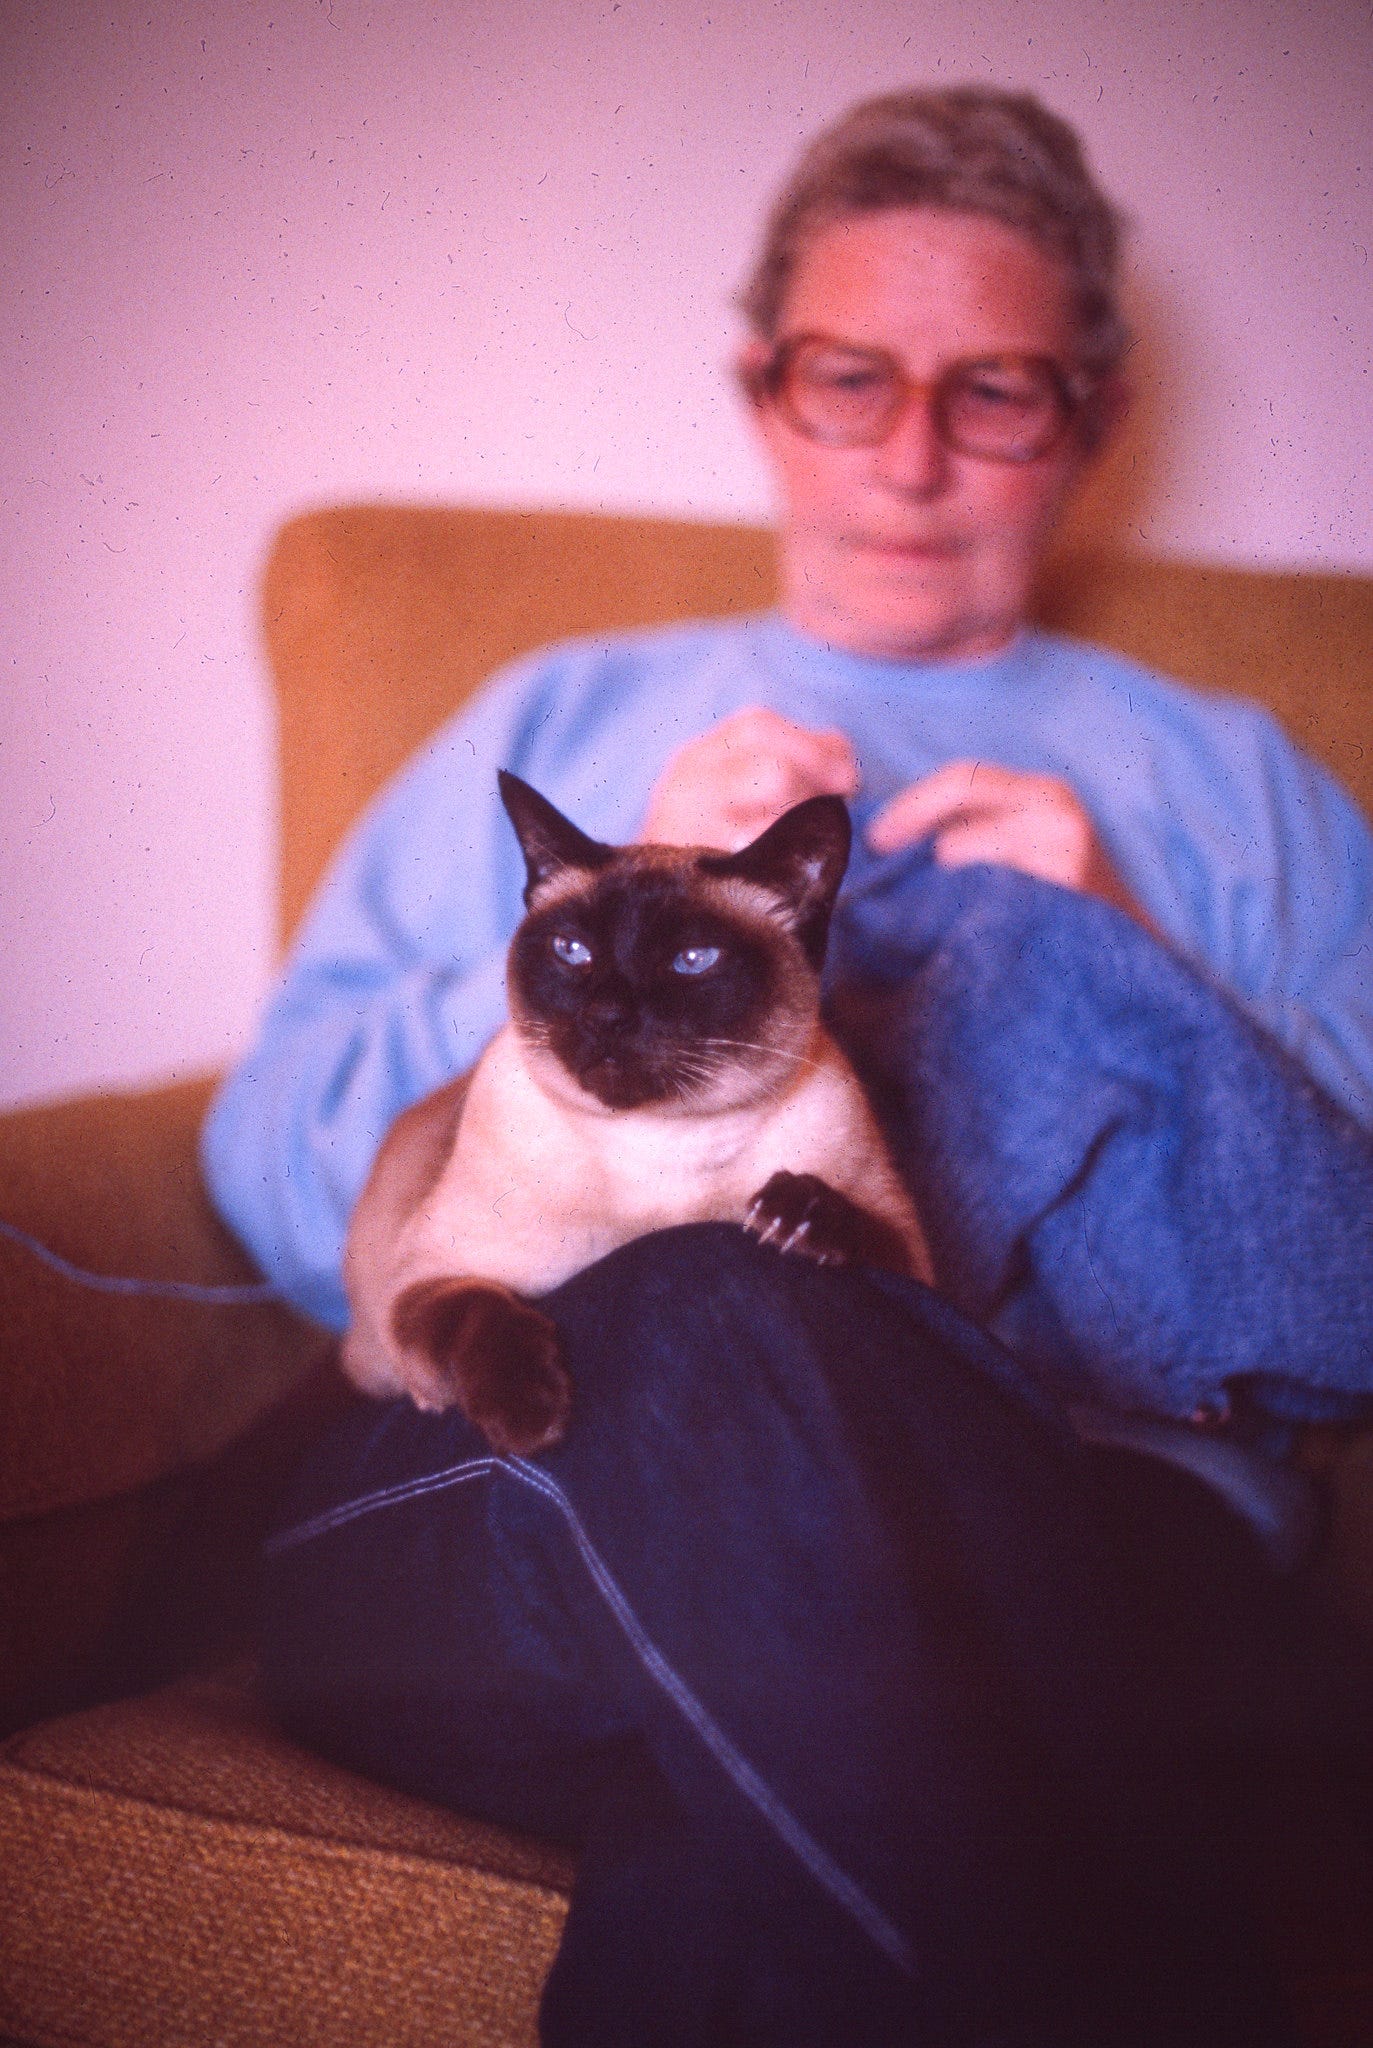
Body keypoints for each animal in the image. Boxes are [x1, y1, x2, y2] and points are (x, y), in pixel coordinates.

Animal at [342, 770, 934, 1458]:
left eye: (693, 961)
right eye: (572, 951)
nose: (606, 1017)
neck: (660, 1148)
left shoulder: (921, 1270)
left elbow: (865, 1230)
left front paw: (795, 1215)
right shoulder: (423, 1280)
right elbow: (476, 1312)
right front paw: (528, 1419)